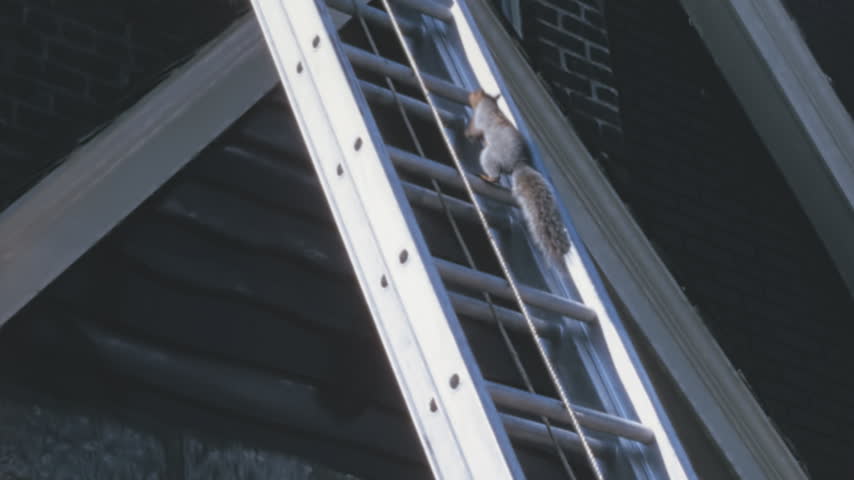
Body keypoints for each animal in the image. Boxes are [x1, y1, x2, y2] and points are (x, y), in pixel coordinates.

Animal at [464, 89, 571, 265]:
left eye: (475, 93)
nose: (469, 95)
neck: (489, 103)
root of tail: (517, 164)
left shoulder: (480, 118)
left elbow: (476, 130)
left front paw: (468, 133)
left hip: (489, 156)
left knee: (495, 176)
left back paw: (486, 177)